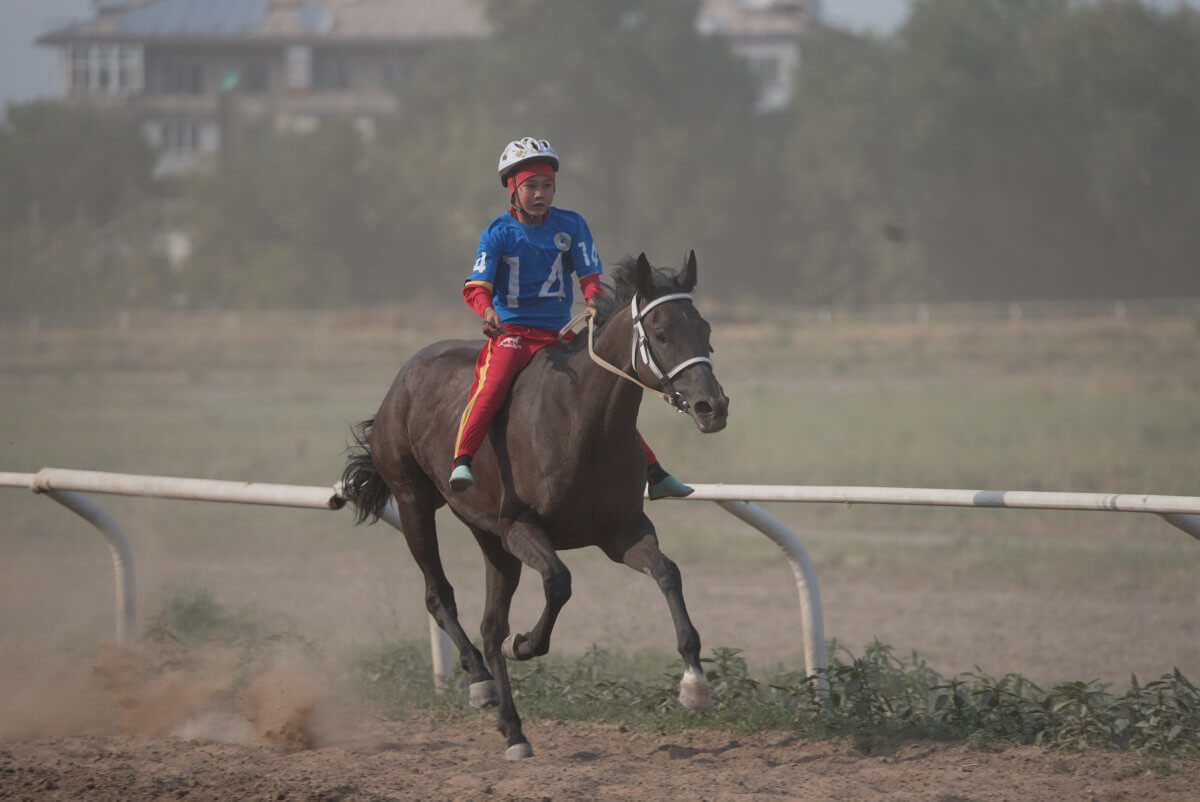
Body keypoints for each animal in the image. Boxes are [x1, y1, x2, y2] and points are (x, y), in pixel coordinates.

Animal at [340, 252, 729, 758]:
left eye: (704, 329)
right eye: (661, 333)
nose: (712, 407)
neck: (583, 422)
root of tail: (402, 379)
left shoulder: (621, 531)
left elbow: (668, 573)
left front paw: (695, 684)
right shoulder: (520, 526)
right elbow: (560, 583)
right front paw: (524, 643)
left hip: (488, 536)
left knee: (490, 625)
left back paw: (513, 729)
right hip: (414, 503)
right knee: (439, 595)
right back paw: (481, 682)